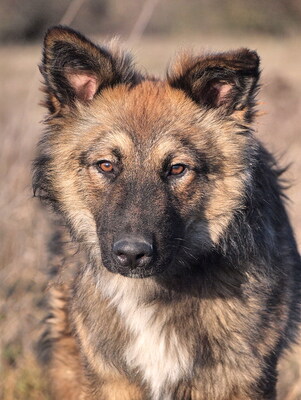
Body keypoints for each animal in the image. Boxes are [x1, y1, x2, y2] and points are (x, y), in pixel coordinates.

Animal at [32, 25, 300, 400]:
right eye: (106, 165)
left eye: (177, 169)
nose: (132, 254)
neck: (156, 292)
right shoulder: (112, 378)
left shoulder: (244, 378)